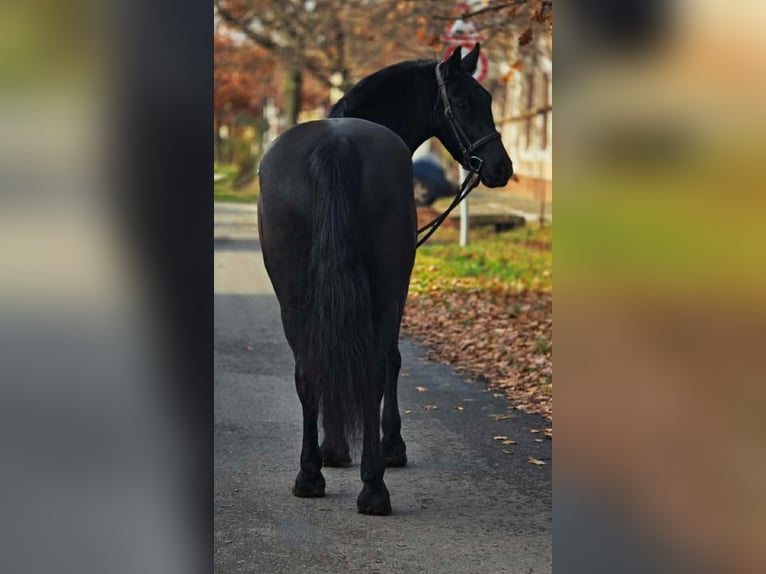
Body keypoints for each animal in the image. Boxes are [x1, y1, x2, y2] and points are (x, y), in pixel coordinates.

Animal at [257, 43, 512, 515]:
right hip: (386, 286)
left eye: (488, 100)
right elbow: (392, 360)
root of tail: (335, 146)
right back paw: (374, 486)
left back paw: (310, 474)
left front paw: (334, 449)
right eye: (464, 102)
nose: (501, 168)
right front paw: (391, 446)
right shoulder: (398, 289)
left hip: (292, 292)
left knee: (308, 368)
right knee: (376, 366)